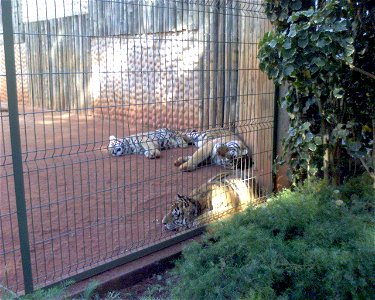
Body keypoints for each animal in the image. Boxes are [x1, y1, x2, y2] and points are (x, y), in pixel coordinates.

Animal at [108, 126, 253, 171]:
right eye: (110, 149)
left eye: (230, 156)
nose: (113, 151)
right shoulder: (209, 149)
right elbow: (196, 157)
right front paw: (181, 161)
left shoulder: (144, 138)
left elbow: (196, 157)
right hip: (196, 137)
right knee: (188, 138)